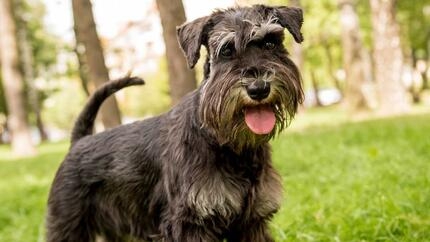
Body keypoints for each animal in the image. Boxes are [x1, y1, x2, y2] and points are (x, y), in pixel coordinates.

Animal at [46, 4, 302, 242]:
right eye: (227, 50)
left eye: (270, 43)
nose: (258, 88)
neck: (229, 145)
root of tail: (79, 141)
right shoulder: (189, 221)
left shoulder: (252, 220)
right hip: (69, 223)